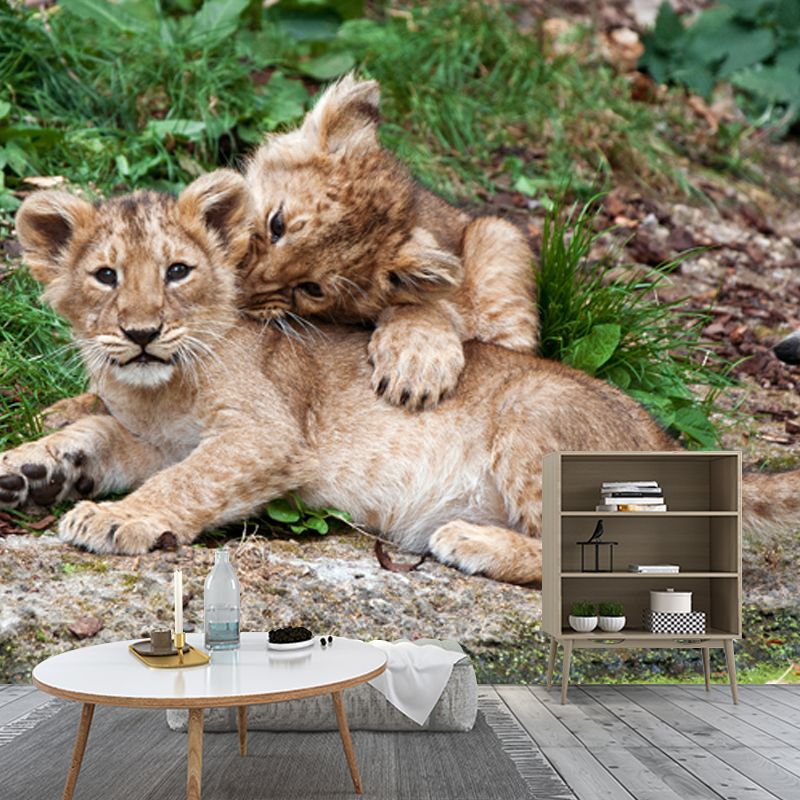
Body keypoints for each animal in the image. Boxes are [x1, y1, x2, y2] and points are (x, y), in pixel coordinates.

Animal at [3, 171, 798, 584]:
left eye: (177, 271)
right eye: (105, 277)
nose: (140, 333)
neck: (160, 387)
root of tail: (670, 444)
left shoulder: (269, 434)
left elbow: (189, 480)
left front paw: (116, 518)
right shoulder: (150, 437)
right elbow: (99, 432)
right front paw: (33, 468)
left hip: (535, 413)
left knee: (607, 559)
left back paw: (467, 541)